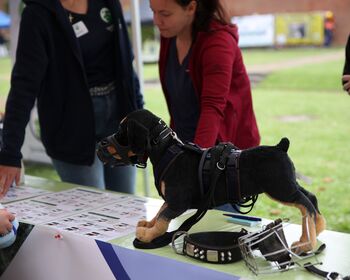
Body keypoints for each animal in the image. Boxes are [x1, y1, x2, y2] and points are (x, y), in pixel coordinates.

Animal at [96, 109, 326, 254]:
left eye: (122, 132)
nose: (100, 144)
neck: (166, 151)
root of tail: (280, 147)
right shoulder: (171, 199)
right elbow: (160, 211)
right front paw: (148, 225)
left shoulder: (178, 202)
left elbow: (163, 218)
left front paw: (149, 234)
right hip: (287, 185)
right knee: (310, 198)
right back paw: (316, 230)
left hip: (280, 188)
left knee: (306, 204)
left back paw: (307, 243)